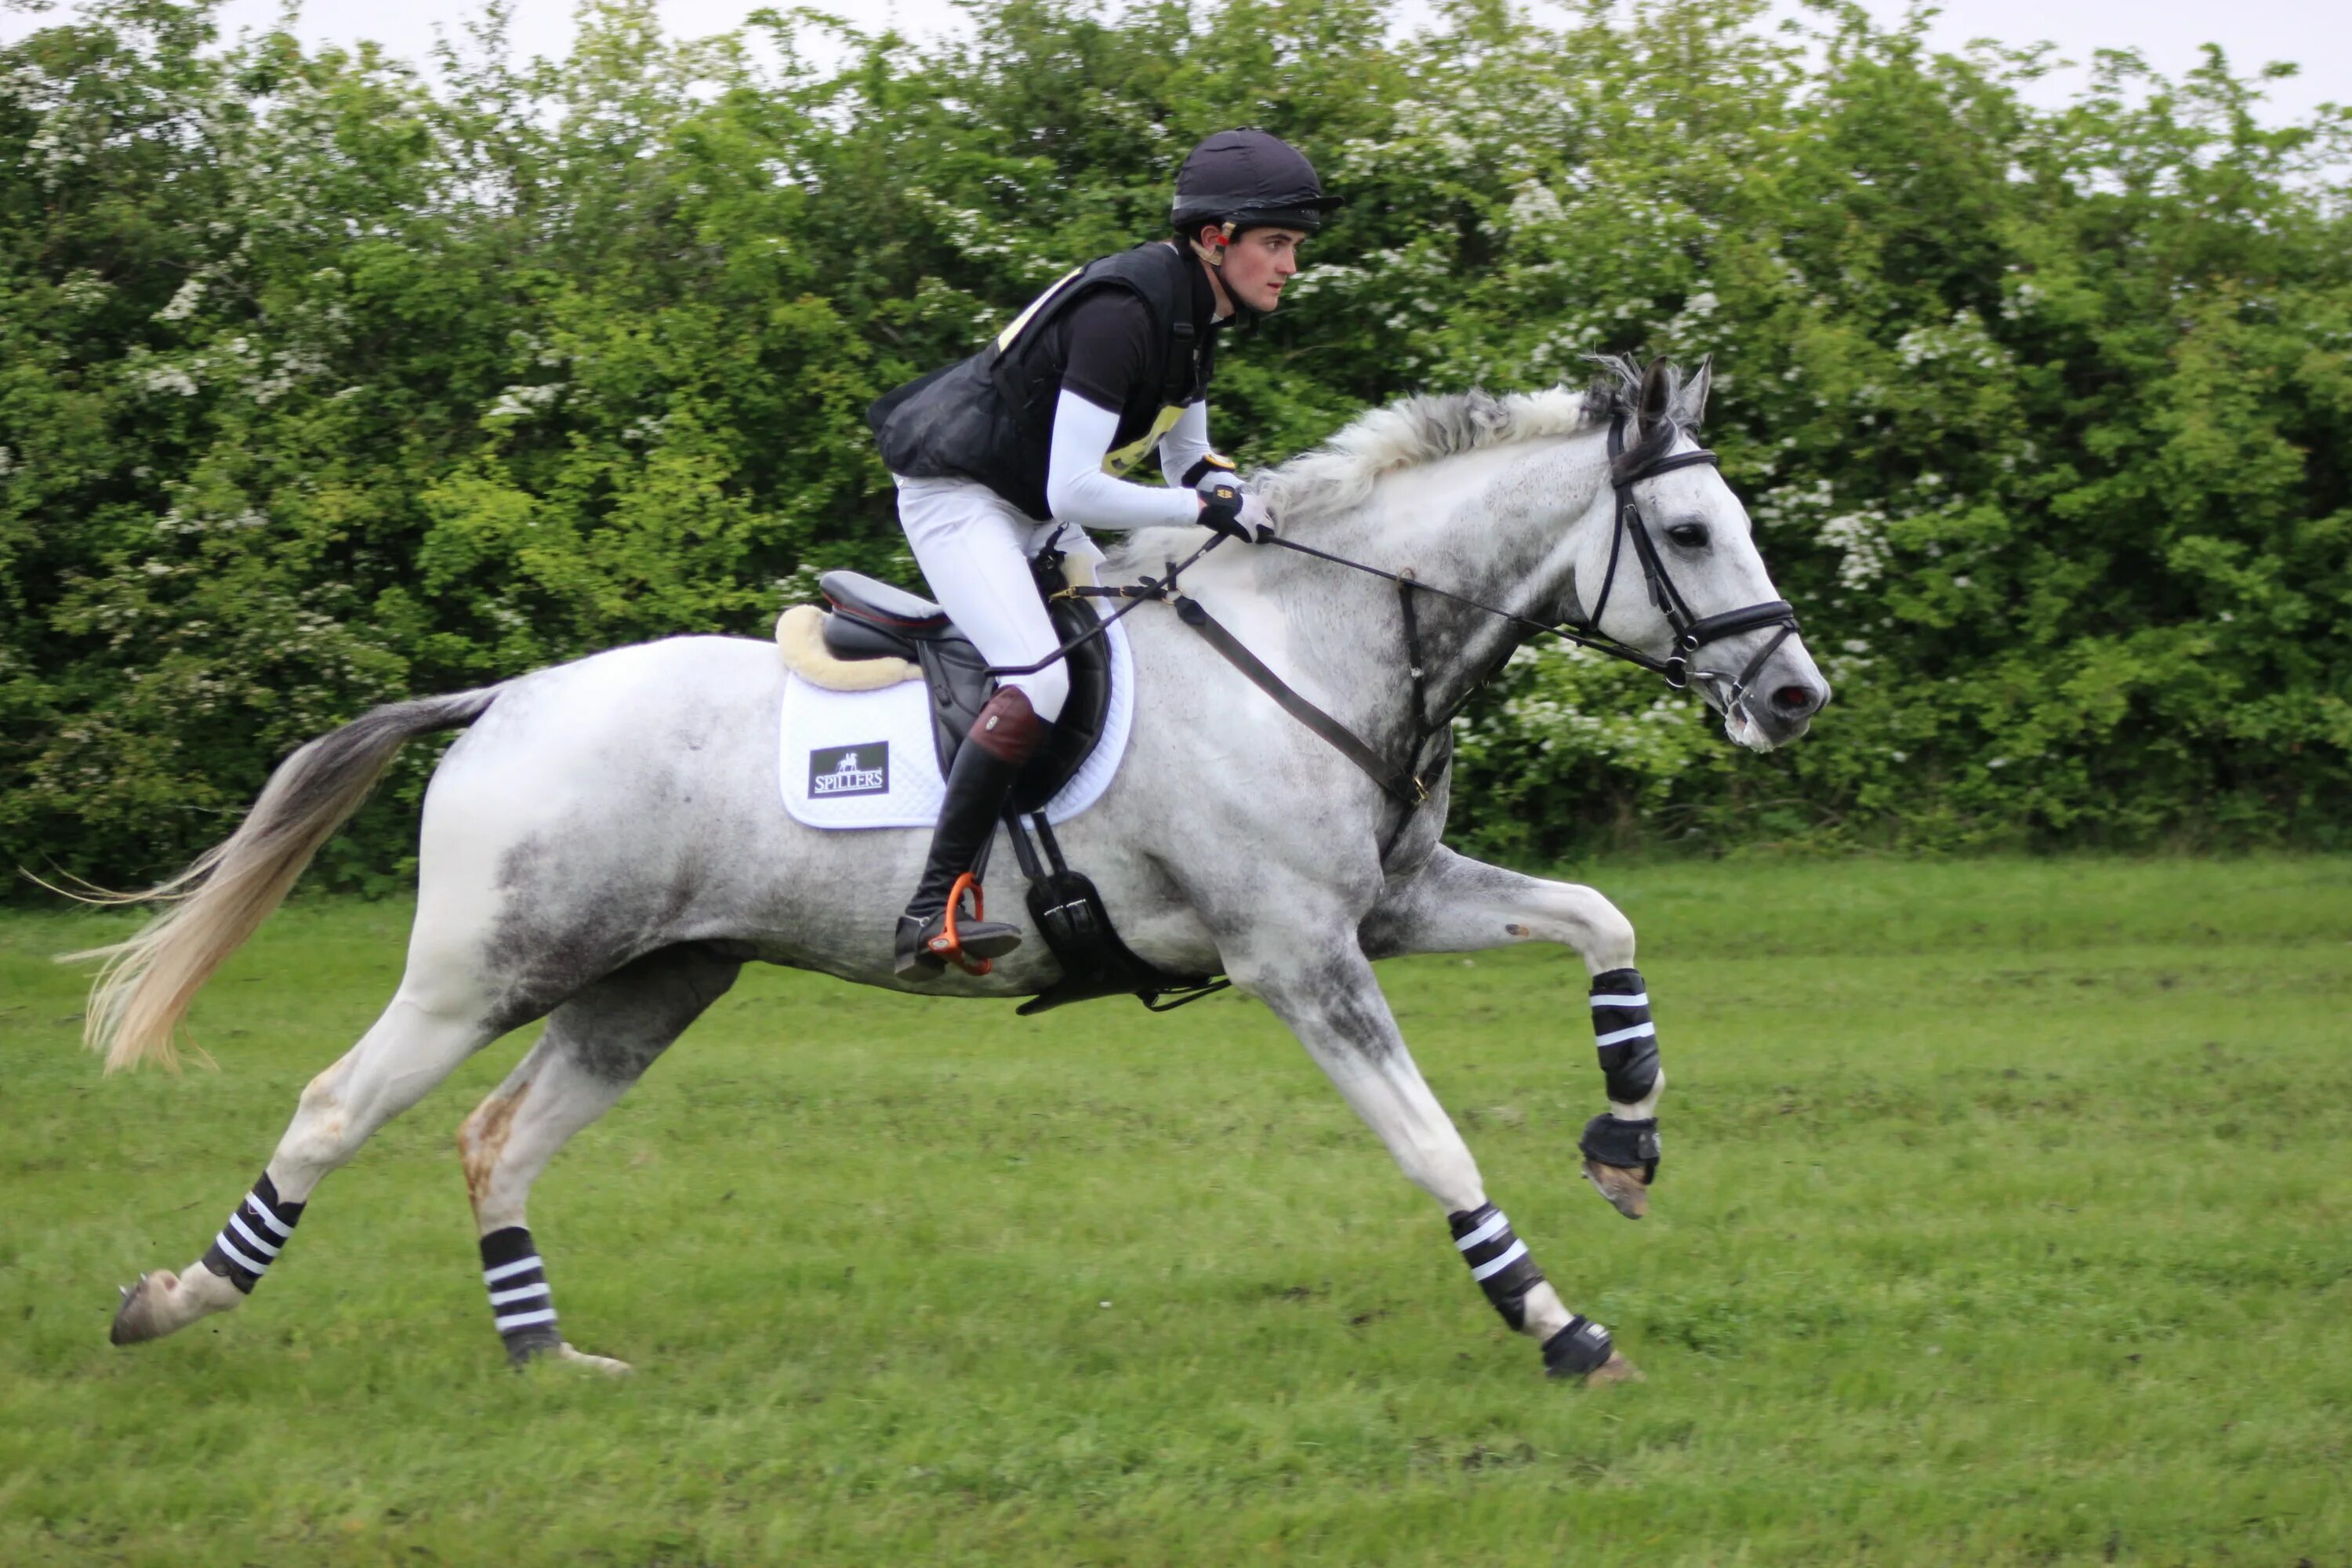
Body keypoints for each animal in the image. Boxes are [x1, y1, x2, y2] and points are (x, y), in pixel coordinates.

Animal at [73, 354, 1825, 1382]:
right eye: (1688, 537)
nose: (1797, 698)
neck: (1320, 636)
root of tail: (506, 697)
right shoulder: (1300, 958)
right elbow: (1431, 1140)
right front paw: (1556, 1322)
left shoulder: (1393, 906)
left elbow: (1600, 920)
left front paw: (1626, 1139)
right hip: (487, 967)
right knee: (335, 1109)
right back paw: (171, 1303)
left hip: (655, 982)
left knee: (497, 1142)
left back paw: (546, 1360)